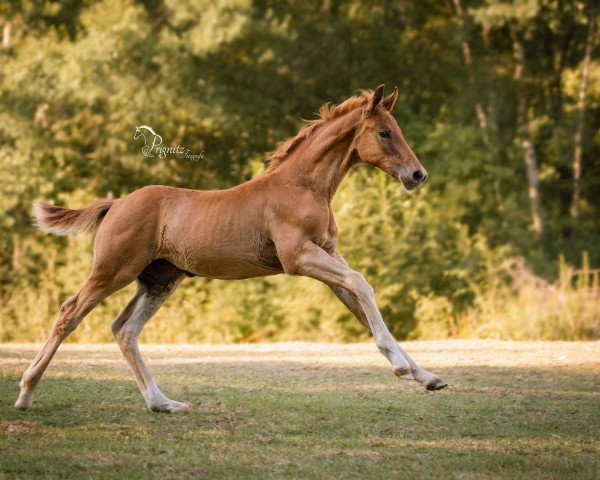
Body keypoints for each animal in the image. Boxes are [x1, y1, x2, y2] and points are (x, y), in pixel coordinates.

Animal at [15, 85, 446, 412]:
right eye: (385, 133)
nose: (418, 174)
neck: (301, 186)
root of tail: (116, 203)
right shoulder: (299, 257)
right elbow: (362, 284)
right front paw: (402, 368)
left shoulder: (327, 255)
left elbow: (360, 303)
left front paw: (427, 377)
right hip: (112, 271)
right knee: (69, 313)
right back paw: (26, 393)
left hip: (159, 280)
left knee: (124, 330)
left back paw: (163, 403)